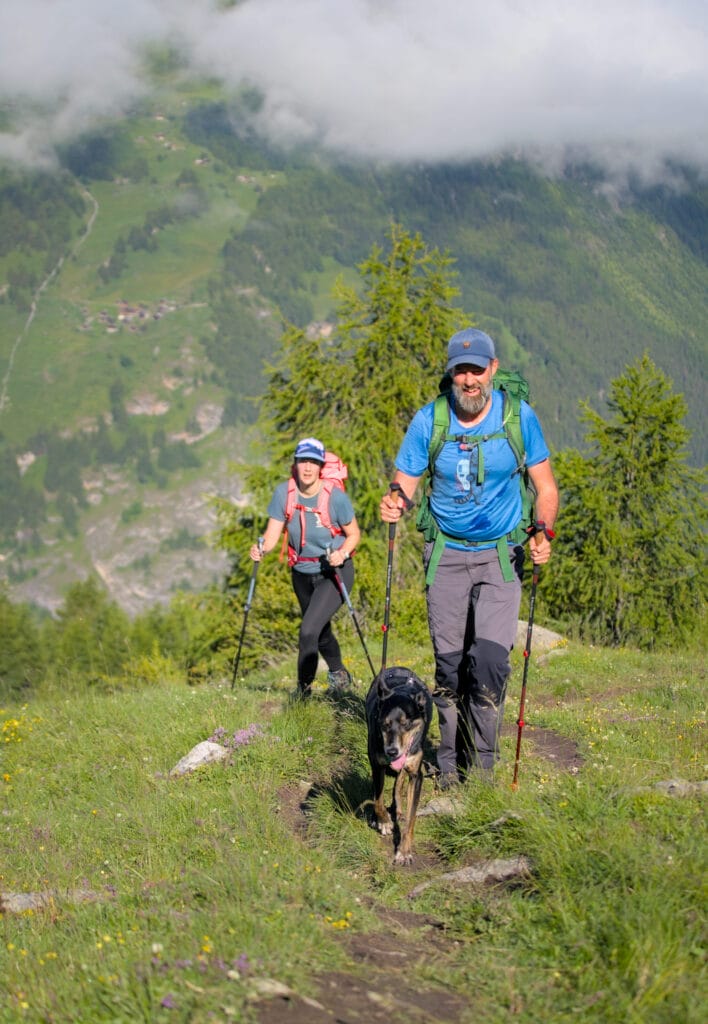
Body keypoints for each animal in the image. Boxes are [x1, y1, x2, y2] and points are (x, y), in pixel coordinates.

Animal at [364, 663, 432, 864]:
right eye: (385, 724)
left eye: (406, 724)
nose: (392, 751)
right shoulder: (376, 764)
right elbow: (378, 800)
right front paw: (384, 821)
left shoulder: (416, 774)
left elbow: (411, 818)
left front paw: (404, 851)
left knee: (399, 780)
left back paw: (399, 810)